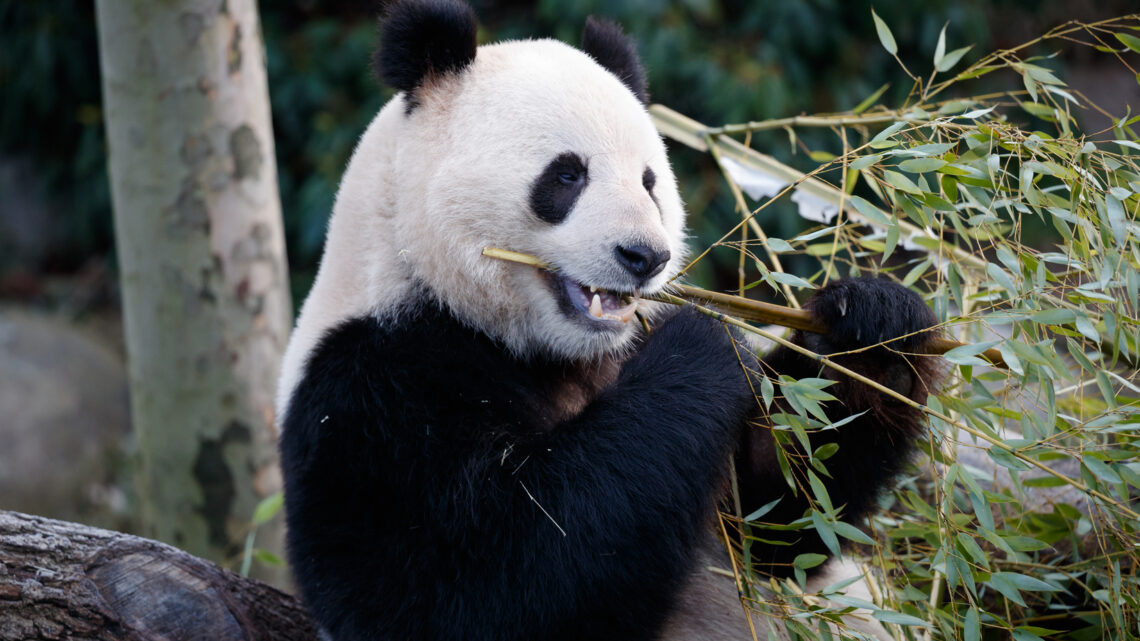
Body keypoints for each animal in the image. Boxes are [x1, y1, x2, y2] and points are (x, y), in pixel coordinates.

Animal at [278, 1, 943, 638]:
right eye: (567, 174)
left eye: (650, 182)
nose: (645, 257)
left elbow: (783, 514)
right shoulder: (372, 390)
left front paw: (875, 324)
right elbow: (483, 580)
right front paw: (704, 343)